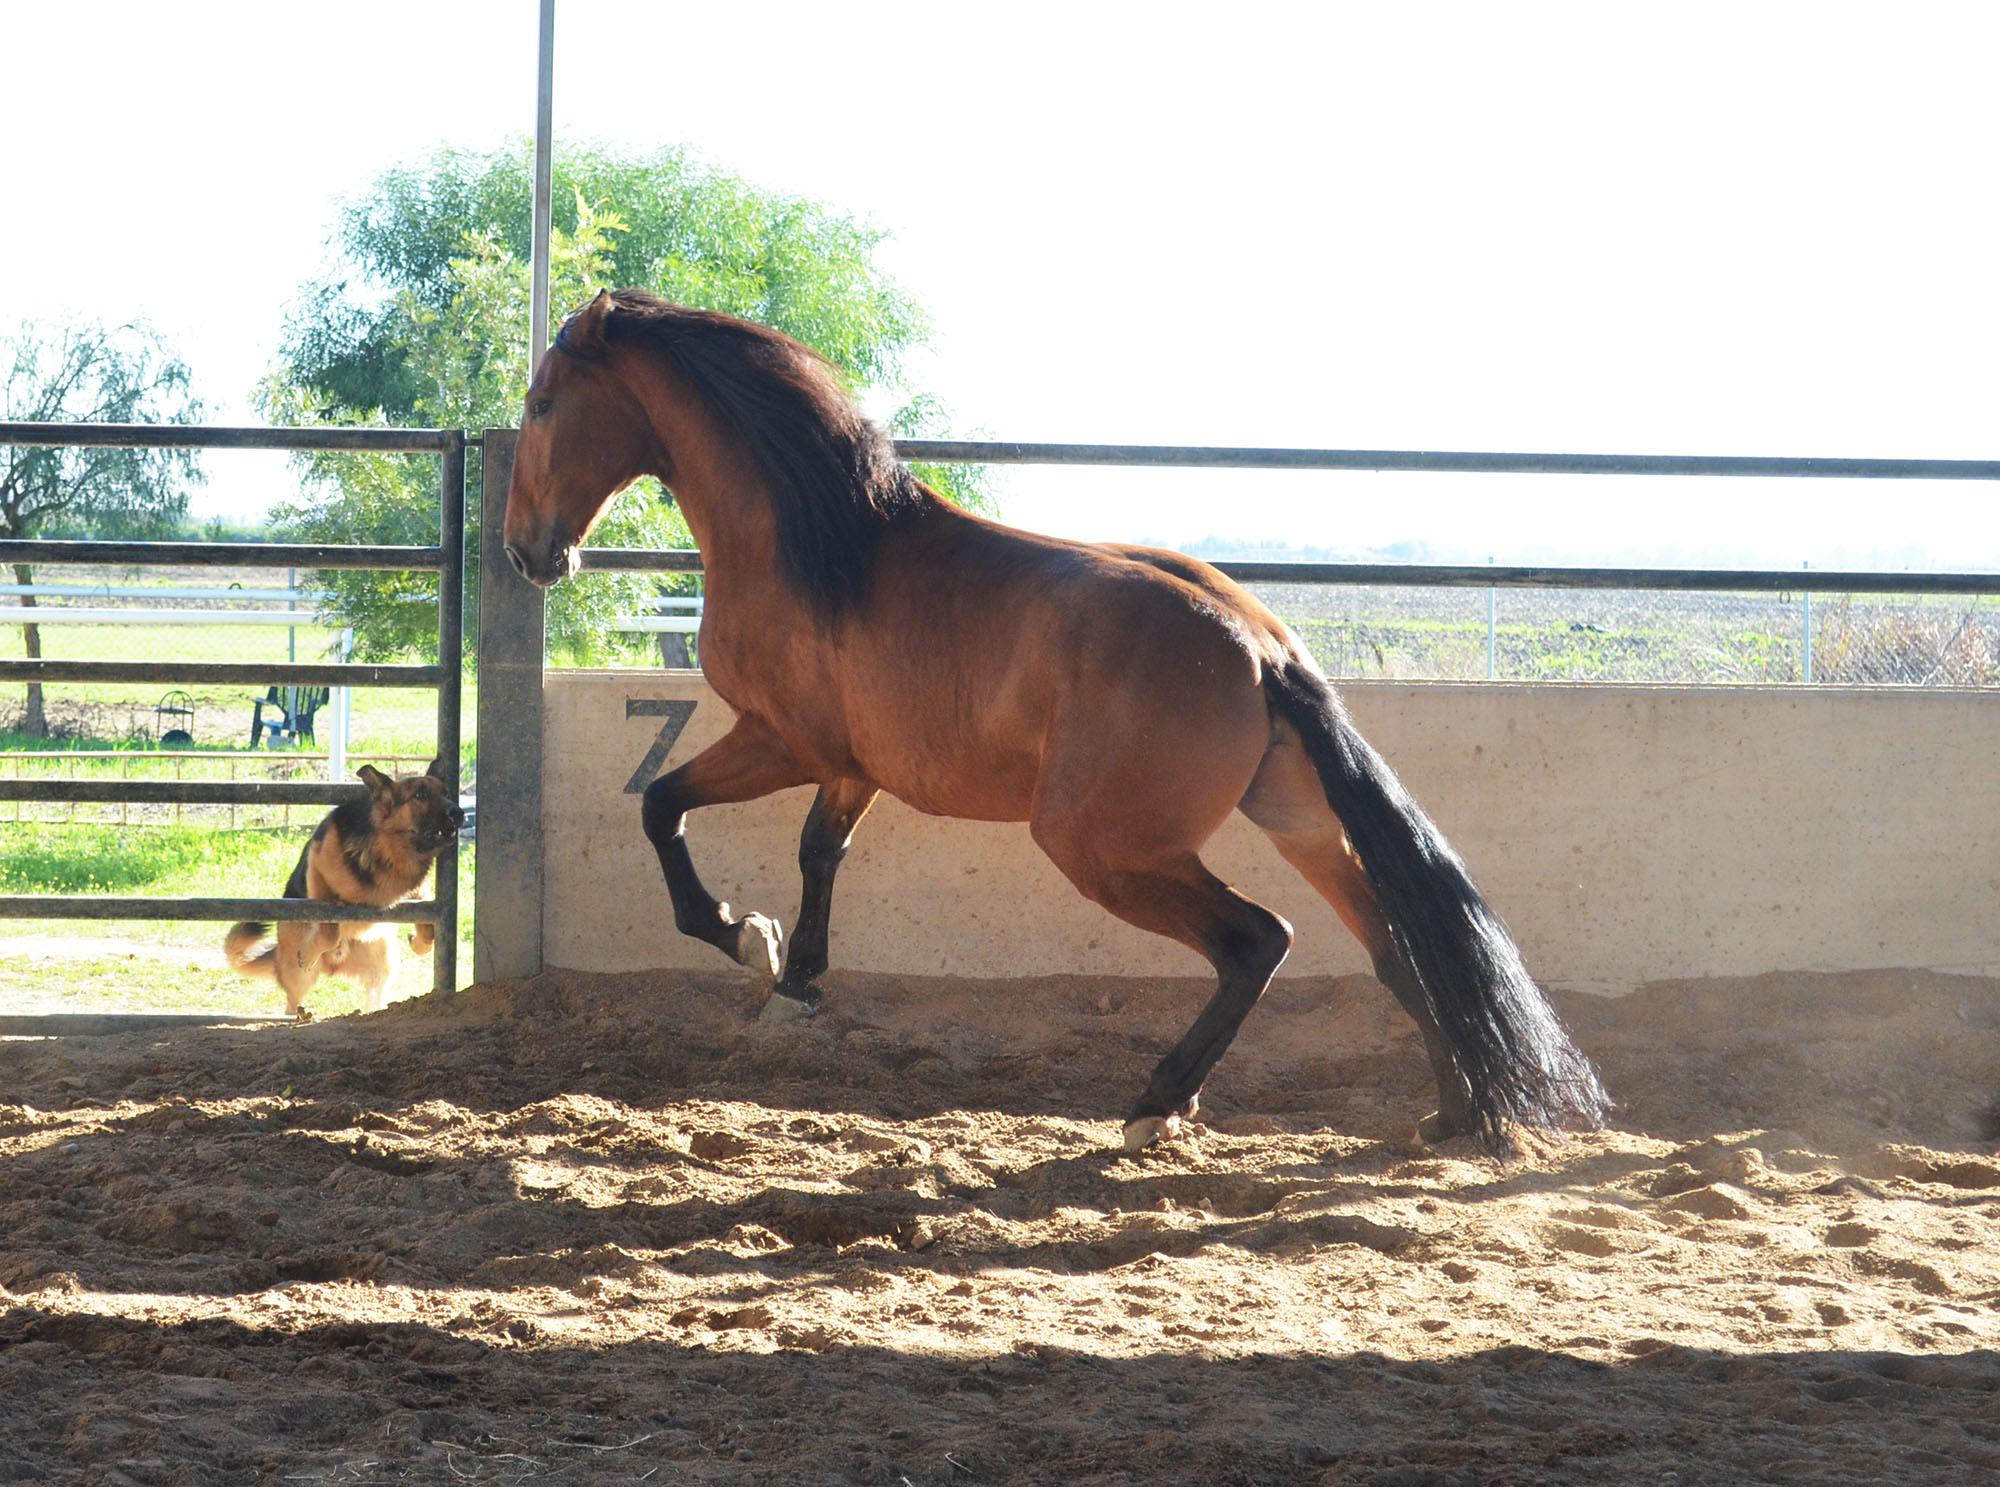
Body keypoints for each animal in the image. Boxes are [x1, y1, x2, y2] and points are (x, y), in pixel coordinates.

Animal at [225, 759, 462, 1015]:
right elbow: (329, 931)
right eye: (420, 795)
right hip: (298, 976)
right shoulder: (317, 866)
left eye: (447, 793)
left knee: (375, 997)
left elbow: (428, 927)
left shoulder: (417, 892)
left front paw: (419, 943)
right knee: (293, 1001)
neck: (386, 848)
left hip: (381, 968)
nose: (459, 813)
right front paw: (309, 953)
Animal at [504, 287, 1608, 1151]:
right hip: (1295, 818)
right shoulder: (854, 765)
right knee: (1398, 950)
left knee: (1259, 940)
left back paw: (1157, 1102)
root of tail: (1262, 647)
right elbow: (821, 852)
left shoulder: (780, 738)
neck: (823, 550)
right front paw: (798, 979)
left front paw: (746, 938)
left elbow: (661, 805)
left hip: (1098, 843)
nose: (527, 551)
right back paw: (1454, 1117)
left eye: (543, 400)